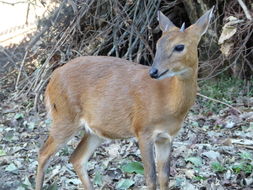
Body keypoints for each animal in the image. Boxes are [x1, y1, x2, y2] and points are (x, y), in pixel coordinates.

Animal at [35, 7, 213, 190]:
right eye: (158, 44)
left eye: (179, 46)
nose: (154, 71)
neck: (168, 101)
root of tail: (51, 79)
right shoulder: (143, 129)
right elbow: (150, 177)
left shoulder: (166, 137)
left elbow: (164, 177)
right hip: (64, 116)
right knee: (43, 153)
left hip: (94, 129)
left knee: (76, 158)